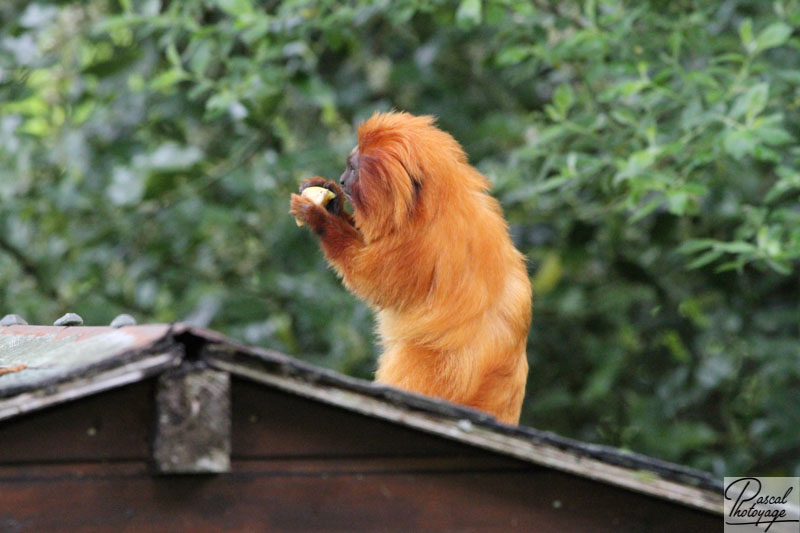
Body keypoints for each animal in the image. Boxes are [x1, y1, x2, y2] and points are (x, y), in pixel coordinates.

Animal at [290, 112, 532, 424]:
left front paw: (320, 219)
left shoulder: (418, 246)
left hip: (436, 370)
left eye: (353, 170)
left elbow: (375, 282)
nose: (342, 181)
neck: (434, 205)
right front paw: (330, 202)